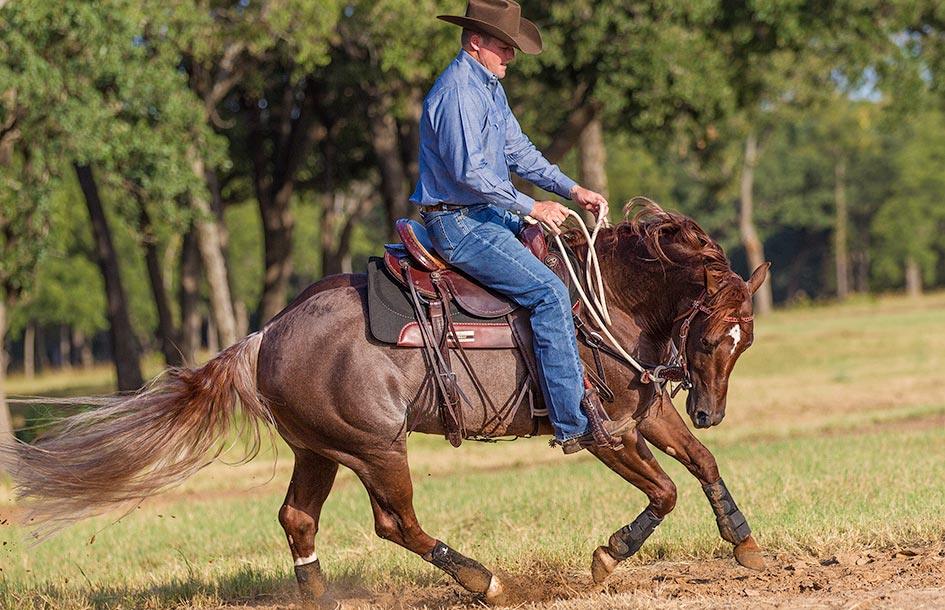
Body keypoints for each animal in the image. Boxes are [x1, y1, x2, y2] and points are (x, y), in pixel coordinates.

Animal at [2, 202, 769, 605]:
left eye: (746, 341)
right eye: (709, 338)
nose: (710, 409)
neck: (603, 301)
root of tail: (265, 334)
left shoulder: (646, 412)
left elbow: (700, 465)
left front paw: (745, 544)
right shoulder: (604, 430)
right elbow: (665, 490)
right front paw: (608, 556)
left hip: (317, 450)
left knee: (297, 518)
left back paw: (322, 596)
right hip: (373, 448)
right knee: (394, 521)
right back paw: (483, 579)